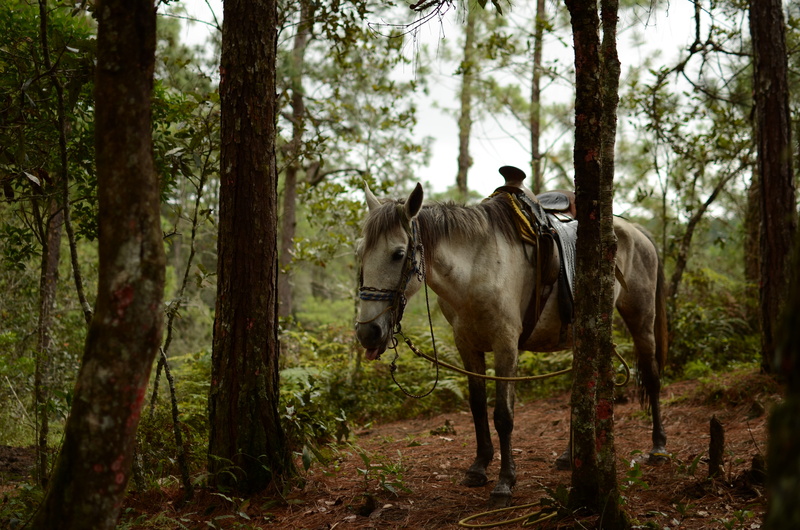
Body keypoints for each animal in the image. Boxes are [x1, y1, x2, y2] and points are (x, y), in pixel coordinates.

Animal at [354, 175, 668, 507]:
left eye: (398, 254)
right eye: (361, 253)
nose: (368, 332)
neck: (476, 269)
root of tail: (635, 230)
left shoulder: (505, 345)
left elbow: (503, 415)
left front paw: (505, 482)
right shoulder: (467, 346)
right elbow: (478, 407)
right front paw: (479, 467)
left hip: (641, 319)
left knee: (651, 377)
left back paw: (658, 447)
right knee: (581, 392)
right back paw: (570, 457)